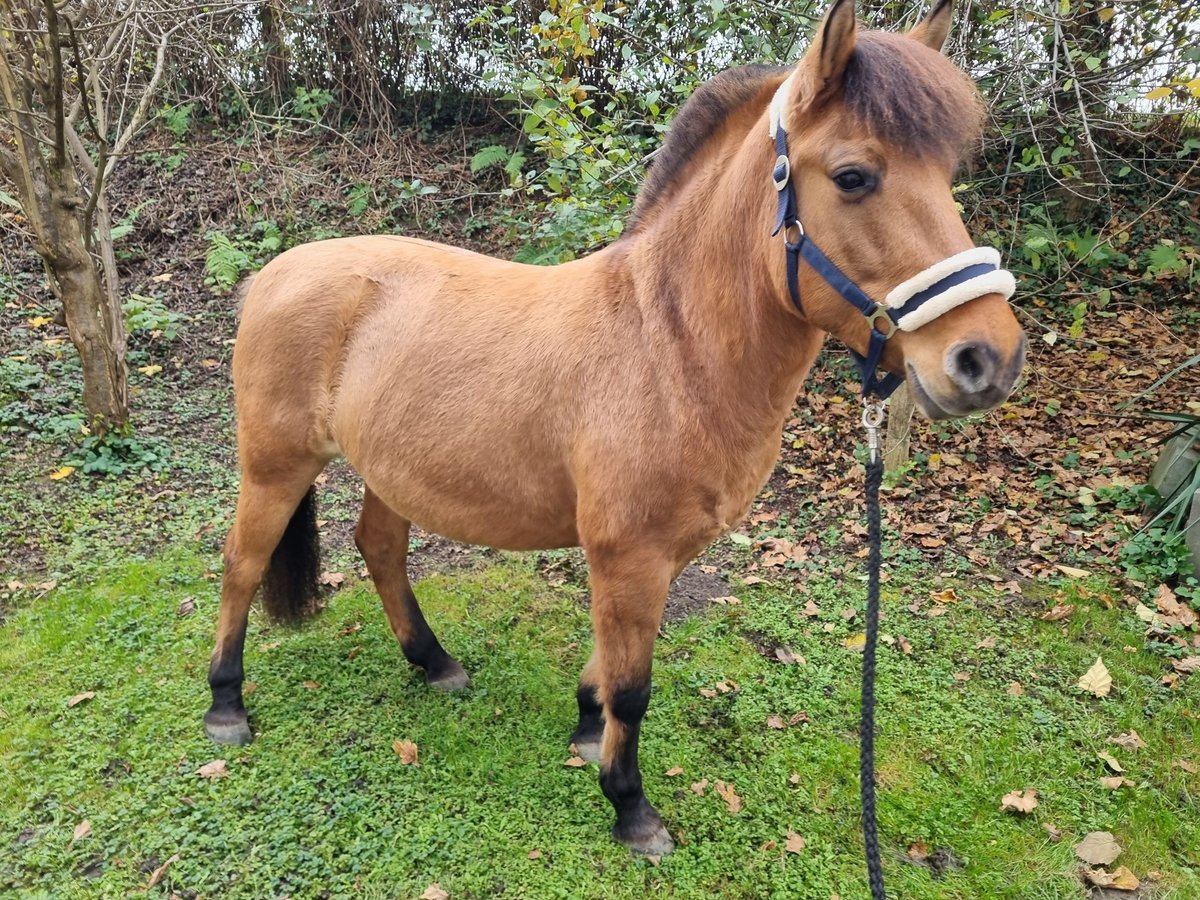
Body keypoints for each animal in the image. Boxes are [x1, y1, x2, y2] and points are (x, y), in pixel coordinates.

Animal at [204, 0, 1022, 859]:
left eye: (946, 180)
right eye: (855, 176)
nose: (987, 359)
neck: (667, 347)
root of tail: (274, 273)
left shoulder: (649, 557)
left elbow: (606, 670)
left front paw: (587, 731)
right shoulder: (630, 556)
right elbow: (634, 688)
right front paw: (630, 805)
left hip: (391, 469)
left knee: (380, 550)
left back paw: (433, 663)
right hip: (275, 466)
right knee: (241, 565)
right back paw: (227, 705)